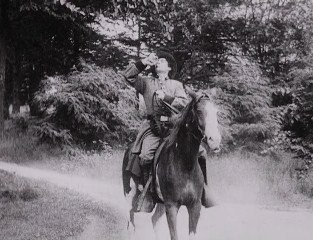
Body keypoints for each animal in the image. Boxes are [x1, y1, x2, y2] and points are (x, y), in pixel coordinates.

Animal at [121, 91, 219, 240]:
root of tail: (129, 149)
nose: (215, 140)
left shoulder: (194, 206)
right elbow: (174, 235)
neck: (185, 165)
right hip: (129, 194)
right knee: (131, 223)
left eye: (216, 111)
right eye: (199, 111)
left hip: (160, 203)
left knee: (154, 220)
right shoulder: (171, 206)